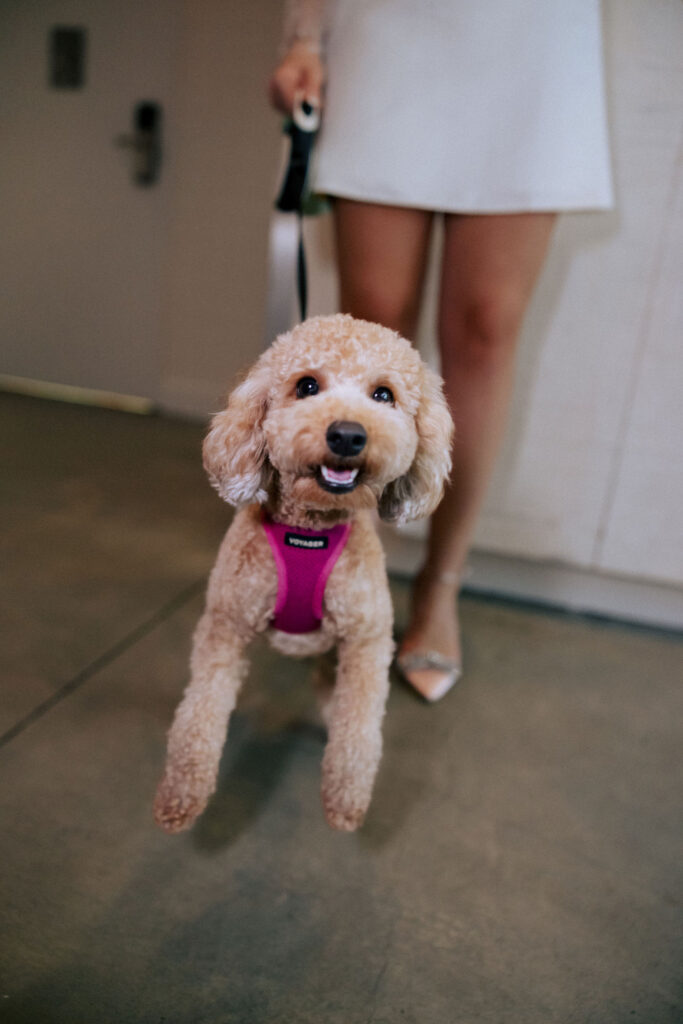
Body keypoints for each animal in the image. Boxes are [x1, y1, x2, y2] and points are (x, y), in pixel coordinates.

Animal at [154, 311, 454, 831]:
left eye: (383, 395)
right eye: (307, 386)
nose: (348, 434)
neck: (309, 530)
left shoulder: (366, 640)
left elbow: (358, 729)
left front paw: (346, 797)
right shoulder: (225, 626)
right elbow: (199, 714)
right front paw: (182, 795)